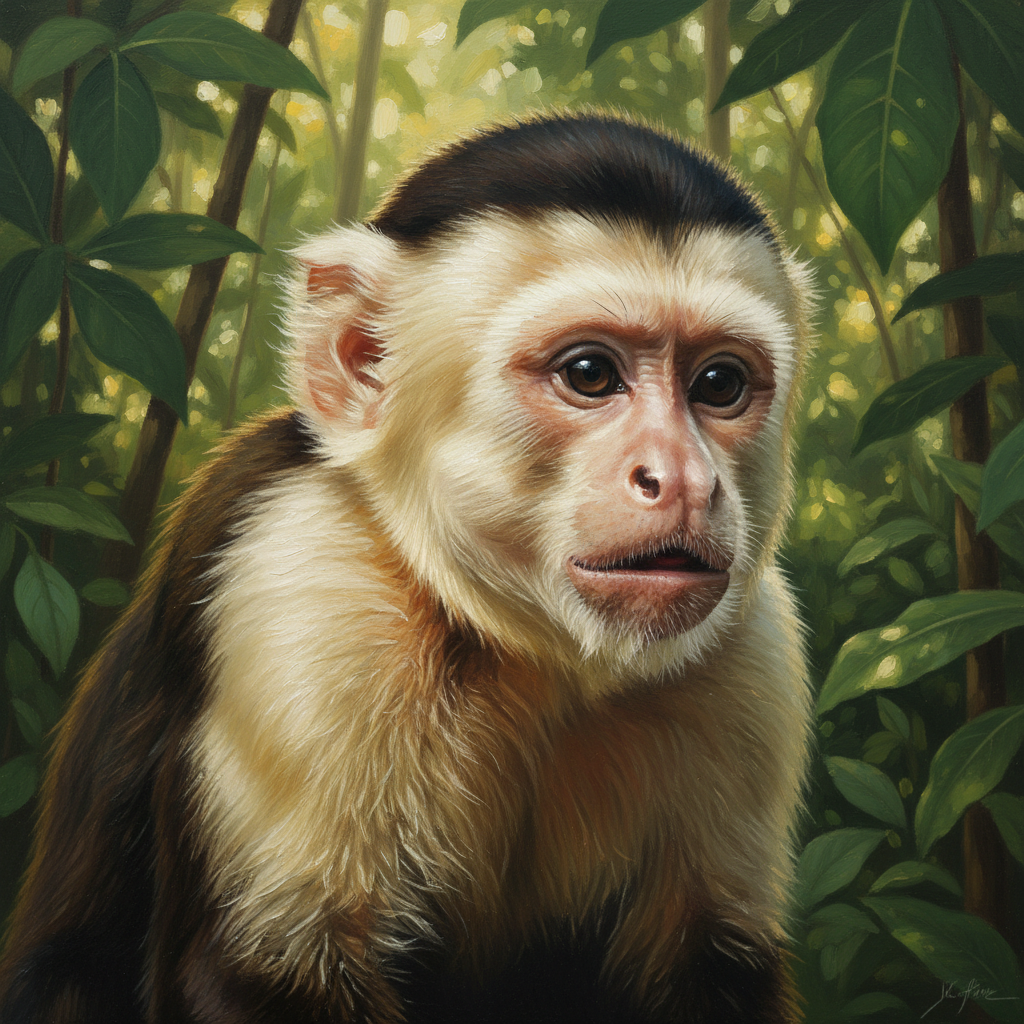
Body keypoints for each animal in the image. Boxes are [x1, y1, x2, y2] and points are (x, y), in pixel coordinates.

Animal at [0, 112, 814, 1024]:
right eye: (589, 374)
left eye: (719, 384)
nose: (683, 478)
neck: (528, 653)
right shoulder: (298, 585)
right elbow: (268, 975)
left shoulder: (753, 654)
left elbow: (709, 968)